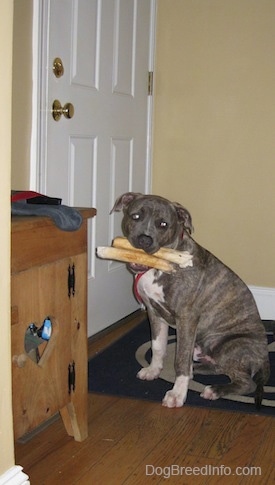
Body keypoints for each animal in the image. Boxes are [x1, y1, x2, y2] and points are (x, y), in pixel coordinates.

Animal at [111, 193, 270, 408]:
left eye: (163, 224)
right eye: (135, 216)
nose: (144, 239)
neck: (161, 265)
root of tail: (265, 358)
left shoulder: (186, 318)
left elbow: (180, 360)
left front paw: (177, 394)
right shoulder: (154, 313)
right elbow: (158, 346)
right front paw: (153, 370)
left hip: (232, 345)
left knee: (246, 382)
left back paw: (214, 390)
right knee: (214, 366)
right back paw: (198, 371)